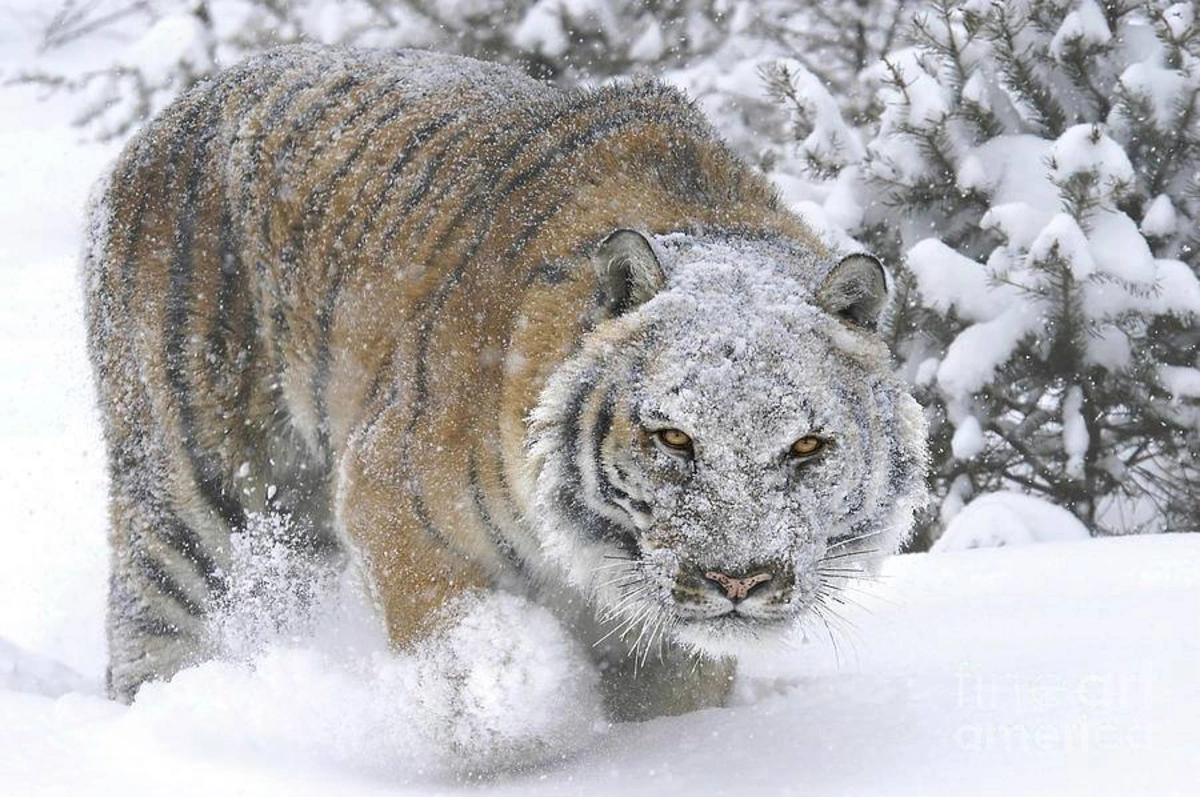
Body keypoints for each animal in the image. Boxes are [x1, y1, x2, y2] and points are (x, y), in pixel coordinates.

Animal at [84, 46, 926, 744]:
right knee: (152, 623)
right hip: (198, 490)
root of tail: (171, 115)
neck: (593, 563)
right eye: (674, 438)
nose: (740, 579)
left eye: (806, 445)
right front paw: (521, 696)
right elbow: (462, 644)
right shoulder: (390, 494)